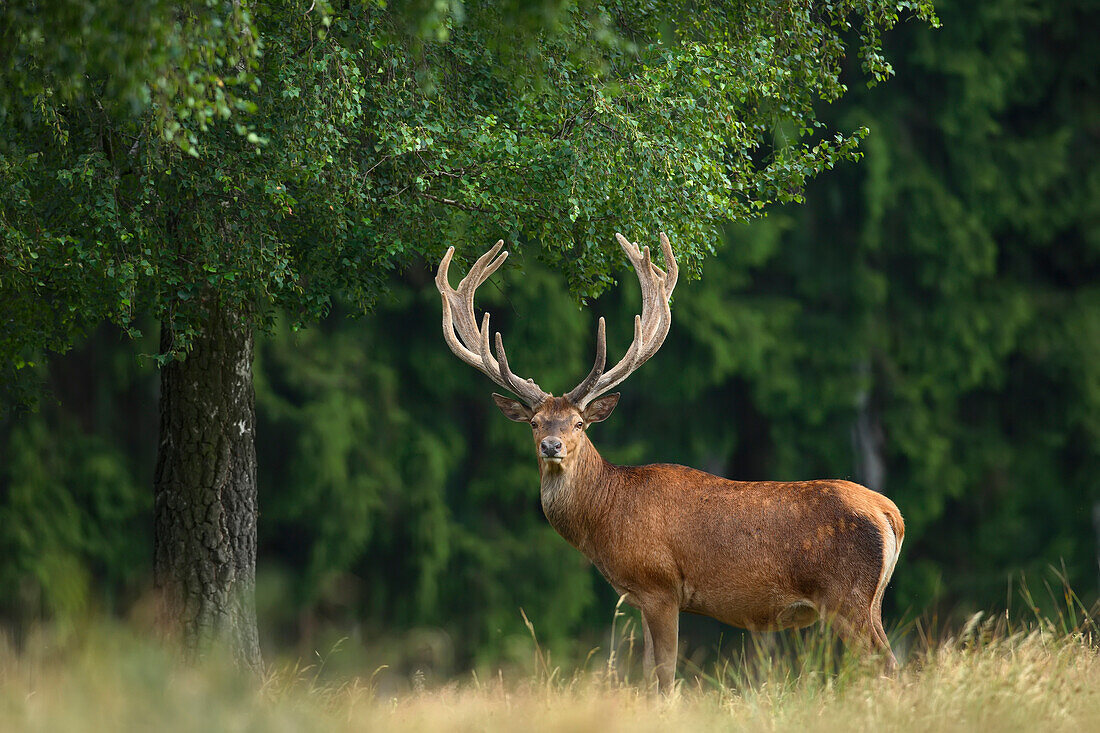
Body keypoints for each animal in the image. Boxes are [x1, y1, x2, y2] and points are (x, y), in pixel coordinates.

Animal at [433, 231, 906, 686]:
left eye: (579, 423)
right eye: (534, 423)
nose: (552, 446)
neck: (606, 516)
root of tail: (890, 514)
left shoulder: (660, 586)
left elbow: (664, 674)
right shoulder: (641, 598)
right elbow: (646, 674)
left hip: (846, 596)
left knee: (886, 664)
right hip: (871, 601)